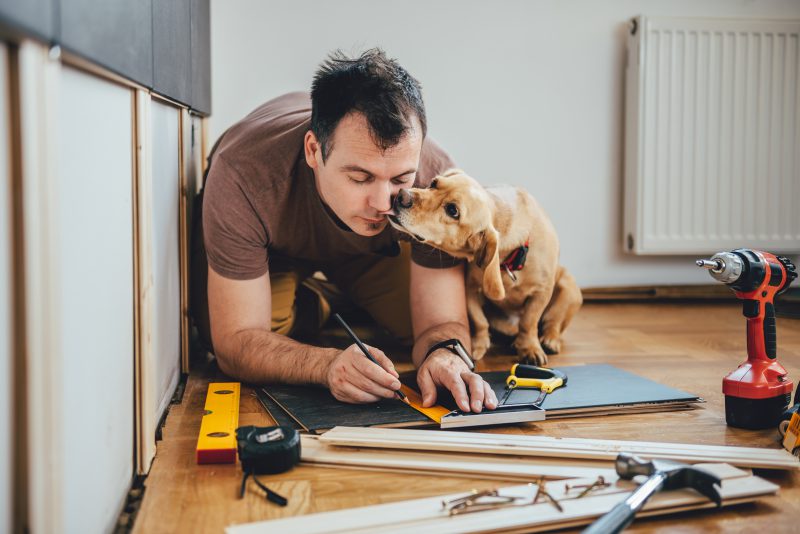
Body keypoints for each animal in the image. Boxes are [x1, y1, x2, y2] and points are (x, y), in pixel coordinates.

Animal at [390, 170, 580, 366]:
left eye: (453, 210)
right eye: (434, 183)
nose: (401, 195)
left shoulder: (541, 292)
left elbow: (528, 323)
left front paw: (529, 348)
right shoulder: (471, 290)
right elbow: (480, 322)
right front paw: (478, 346)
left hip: (569, 288)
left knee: (552, 323)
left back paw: (549, 340)